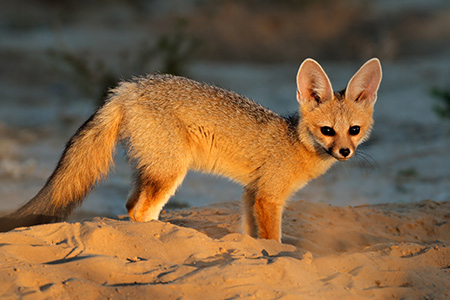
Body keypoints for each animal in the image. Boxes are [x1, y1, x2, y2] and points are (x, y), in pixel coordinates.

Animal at [0, 58, 382, 241]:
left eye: (354, 131)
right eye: (327, 131)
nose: (345, 153)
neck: (295, 141)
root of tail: (127, 87)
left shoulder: (250, 192)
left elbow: (252, 235)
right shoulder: (268, 197)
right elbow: (274, 240)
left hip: (152, 169)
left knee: (129, 206)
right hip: (171, 172)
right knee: (139, 212)